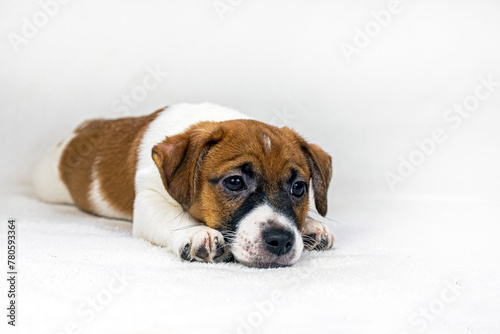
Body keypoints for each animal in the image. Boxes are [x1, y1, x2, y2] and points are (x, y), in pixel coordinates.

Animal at [33, 103, 334, 268]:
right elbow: (174, 217)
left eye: (298, 188)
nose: (281, 240)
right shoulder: (148, 201)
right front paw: (197, 233)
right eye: (235, 182)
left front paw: (311, 225)